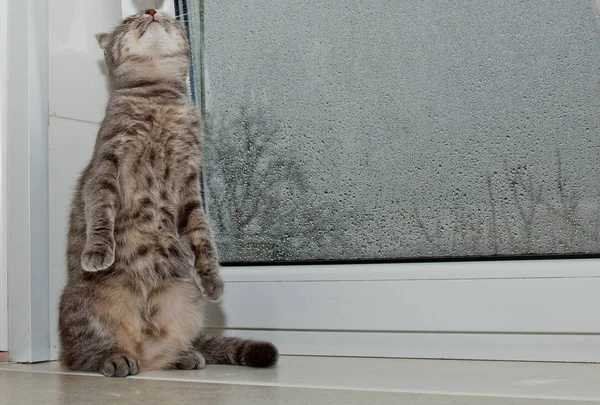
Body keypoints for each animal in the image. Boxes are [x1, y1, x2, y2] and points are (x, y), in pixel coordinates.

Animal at [58, 8, 278, 376]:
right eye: (128, 20)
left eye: (161, 14)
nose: (149, 11)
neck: (158, 100)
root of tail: (140, 352)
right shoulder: (105, 167)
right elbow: (100, 211)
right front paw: (98, 251)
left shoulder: (190, 182)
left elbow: (202, 235)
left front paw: (212, 278)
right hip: (82, 308)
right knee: (81, 356)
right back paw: (114, 358)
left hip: (188, 307)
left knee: (165, 352)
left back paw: (184, 356)